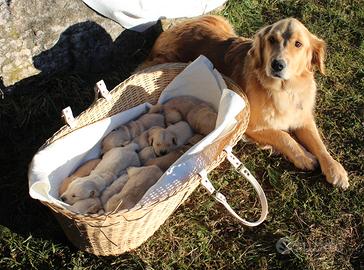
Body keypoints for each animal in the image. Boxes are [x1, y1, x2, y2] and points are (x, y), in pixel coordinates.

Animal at [141, 14, 348, 188]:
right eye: (272, 40)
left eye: (298, 44)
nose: (277, 65)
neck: (283, 90)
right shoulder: (251, 125)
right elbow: (283, 136)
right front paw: (304, 156)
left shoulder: (302, 117)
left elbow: (319, 144)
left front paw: (335, 169)